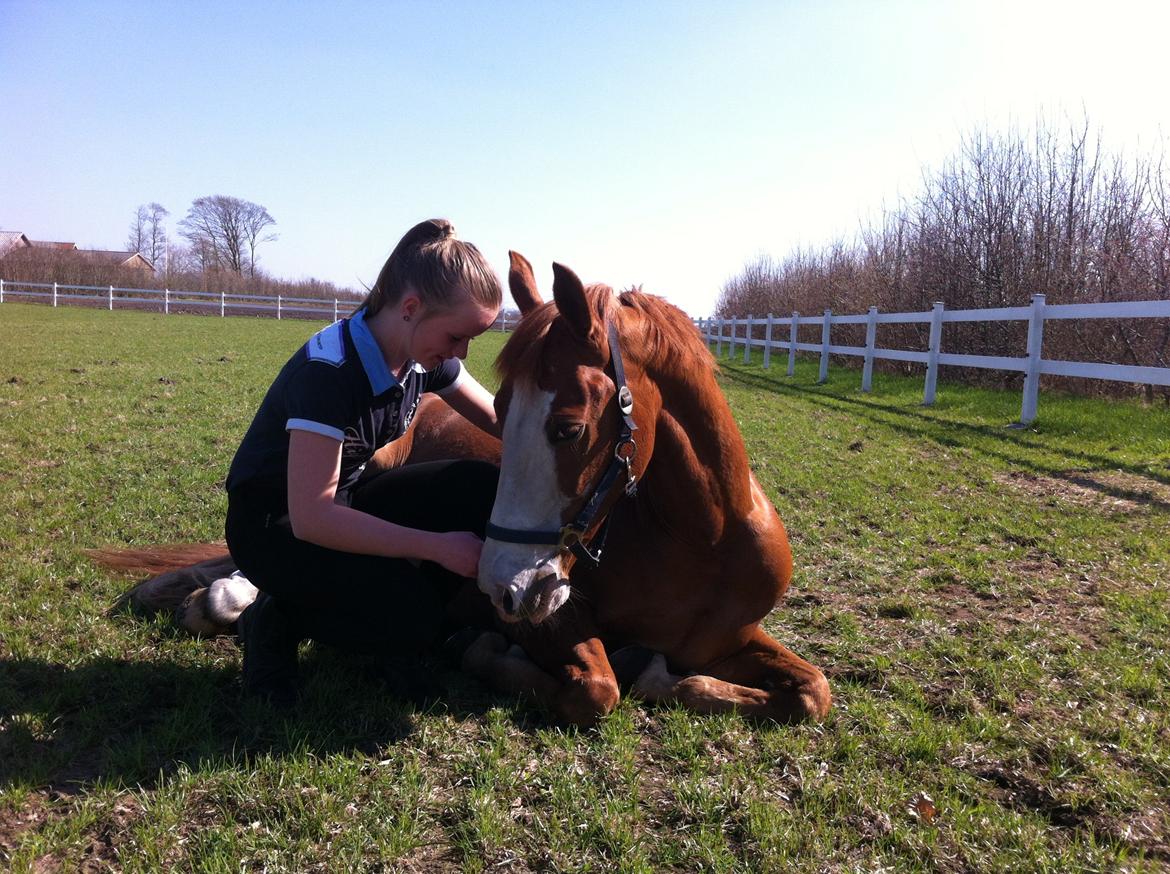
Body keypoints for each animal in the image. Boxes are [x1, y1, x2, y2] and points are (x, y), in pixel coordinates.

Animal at [457, 253, 831, 726]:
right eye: (500, 412)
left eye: (569, 429)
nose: (500, 585)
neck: (707, 538)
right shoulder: (553, 616)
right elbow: (595, 689)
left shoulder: (728, 641)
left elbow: (813, 691)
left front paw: (664, 677)